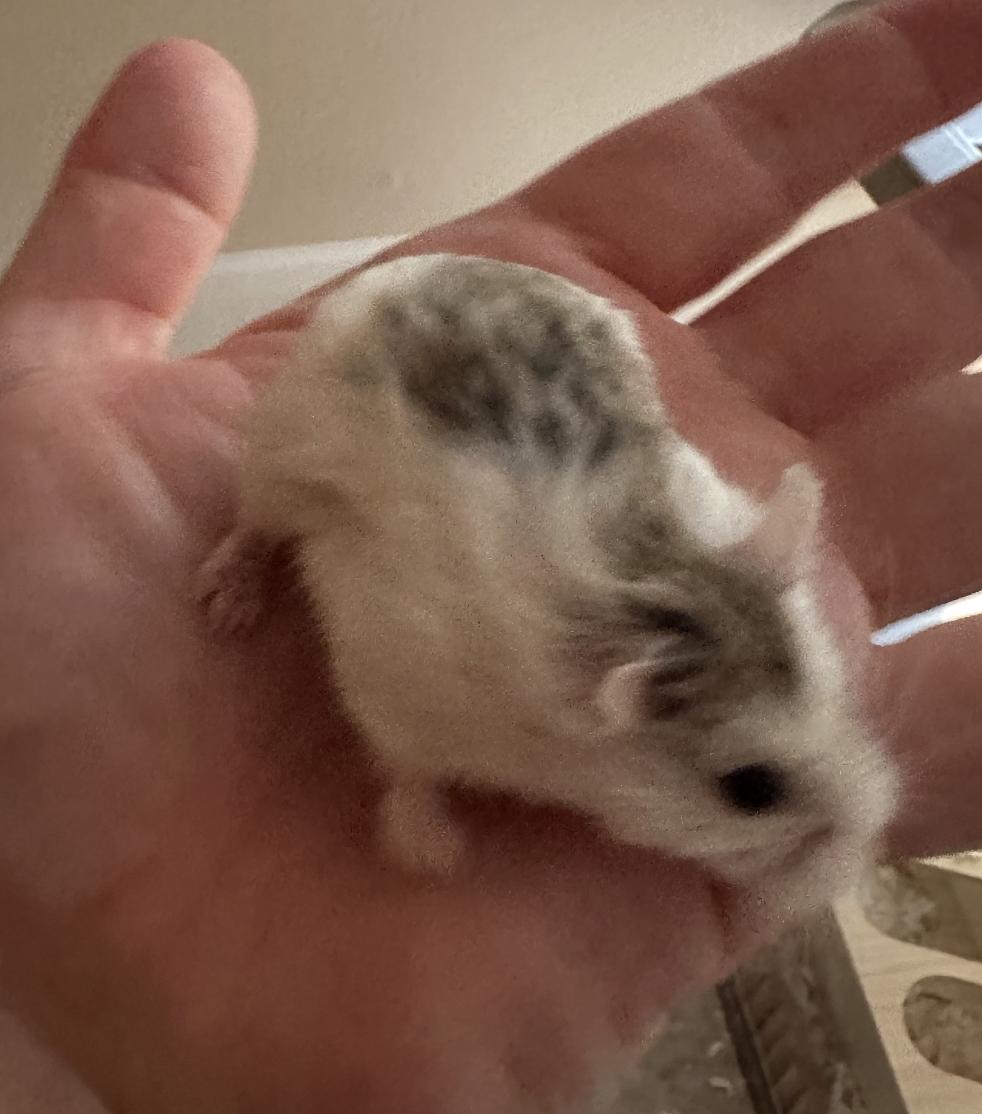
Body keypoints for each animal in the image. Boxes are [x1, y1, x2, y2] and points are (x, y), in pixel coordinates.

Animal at [195, 253, 899, 910]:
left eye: (839, 700)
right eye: (750, 790)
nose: (859, 858)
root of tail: (399, 270)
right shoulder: (393, 693)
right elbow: (409, 775)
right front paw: (434, 856)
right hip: (275, 460)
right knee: (252, 528)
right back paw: (226, 607)